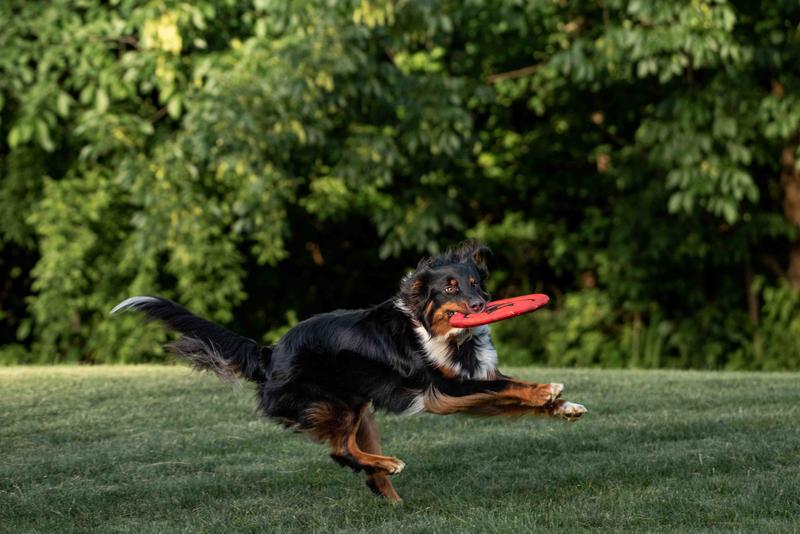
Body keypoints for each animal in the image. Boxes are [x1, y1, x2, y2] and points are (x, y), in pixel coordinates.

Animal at [112, 242, 584, 502]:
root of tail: (270, 352)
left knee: (357, 460)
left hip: (360, 408)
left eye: (475, 282)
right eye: (449, 287)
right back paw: (391, 465)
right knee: (340, 451)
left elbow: (507, 393)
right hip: (336, 402)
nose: (482, 305)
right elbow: (508, 385)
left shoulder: (465, 385)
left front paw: (563, 407)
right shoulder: (444, 389)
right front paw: (547, 389)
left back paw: (393, 496)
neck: (447, 335)